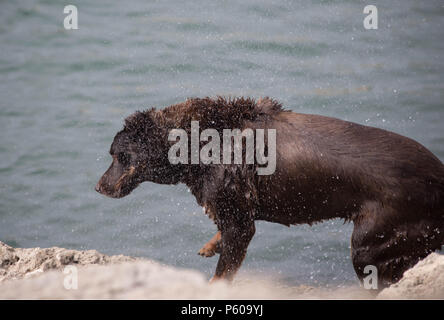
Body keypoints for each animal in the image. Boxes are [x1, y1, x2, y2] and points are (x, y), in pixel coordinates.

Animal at [96, 96, 444, 286]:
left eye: (118, 155)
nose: (99, 186)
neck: (196, 142)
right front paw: (212, 244)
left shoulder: (239, 218)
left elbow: (227, 264)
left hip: (374, 240)